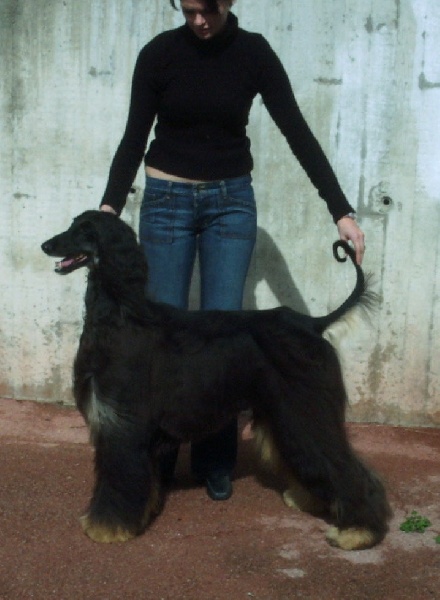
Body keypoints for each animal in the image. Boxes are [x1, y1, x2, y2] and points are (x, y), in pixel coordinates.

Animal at [41, 210, 391, 549]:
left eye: (86, 231)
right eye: (73, 224)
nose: (46, 245)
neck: (119, 316)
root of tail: (313, 324)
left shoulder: (122, 422)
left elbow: (118, 479)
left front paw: (107, 528)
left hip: (305, 409)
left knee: (344, 466)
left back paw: (357, 531)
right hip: (284, 411)